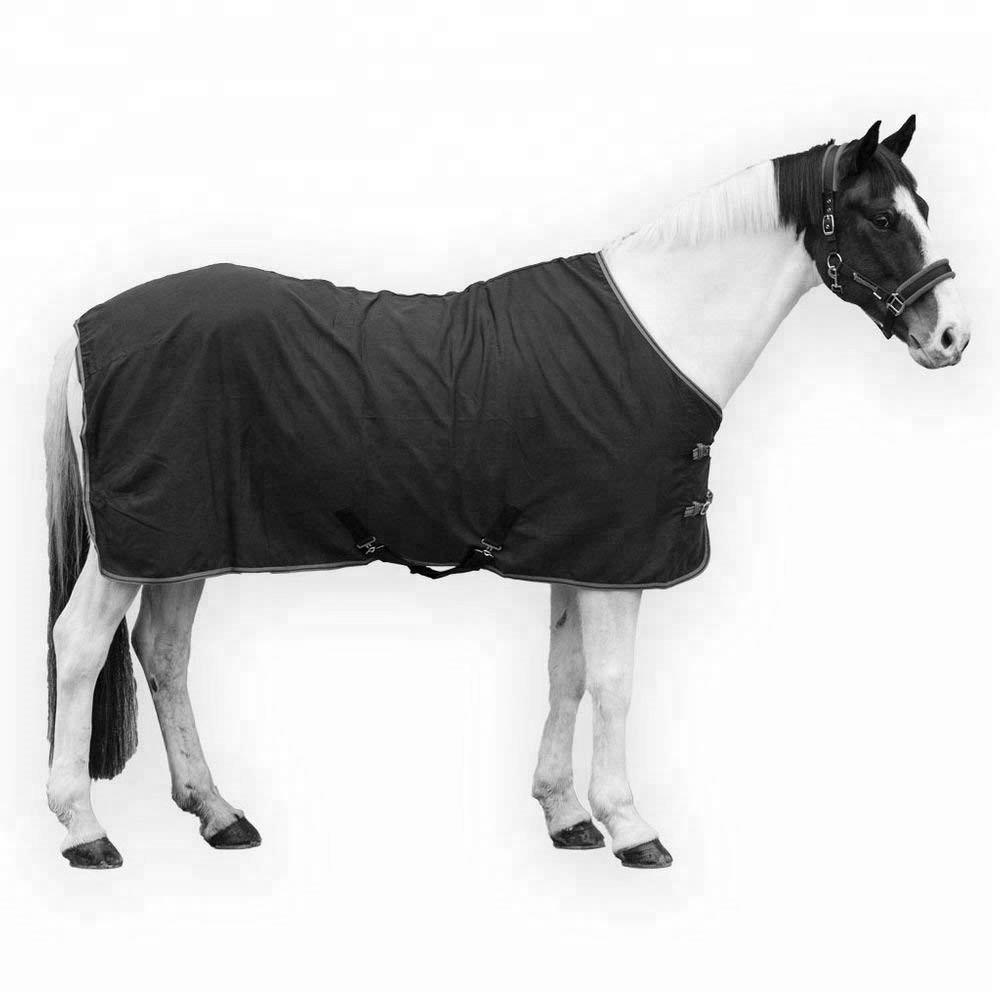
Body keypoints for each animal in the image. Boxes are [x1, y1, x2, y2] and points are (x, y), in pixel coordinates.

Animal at [42, 115, 970, 870]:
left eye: (922, 205)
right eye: (882, 217)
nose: (953, 338)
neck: (659, 330)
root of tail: (86, 327)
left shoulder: (578, 553)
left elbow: (567, 675)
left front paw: (566, 816)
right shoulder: (617, 561)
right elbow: (615, 681)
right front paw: (631, 826)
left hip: (184, 543)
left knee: (163, 655)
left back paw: (217, 813)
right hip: (137, 547)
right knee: (81, 645)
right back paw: (83, 828)